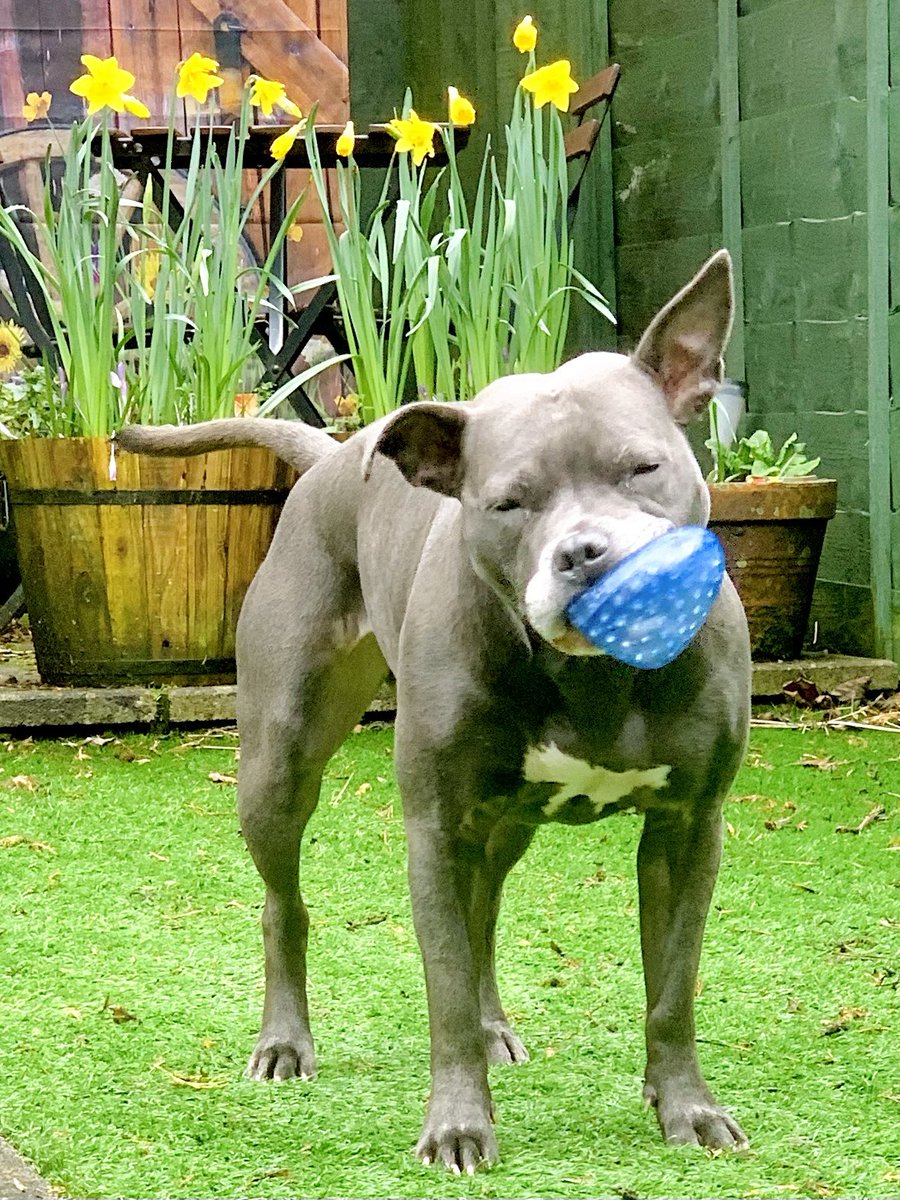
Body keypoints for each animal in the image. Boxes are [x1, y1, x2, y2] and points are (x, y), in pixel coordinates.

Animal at [120, 248, 753, 1176]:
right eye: (507, 503)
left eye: (643, 468)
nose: (586, 553)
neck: (598, 677)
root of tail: (334, 455)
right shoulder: (434, 825)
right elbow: (443, 988)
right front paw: (459, 1124)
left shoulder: (688, 827)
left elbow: (671, 988)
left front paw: (687, 1107)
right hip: (279, 765)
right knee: (286, 904)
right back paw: (285, 1041)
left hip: (505, 821)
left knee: (484, 914)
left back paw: (495, 1026)